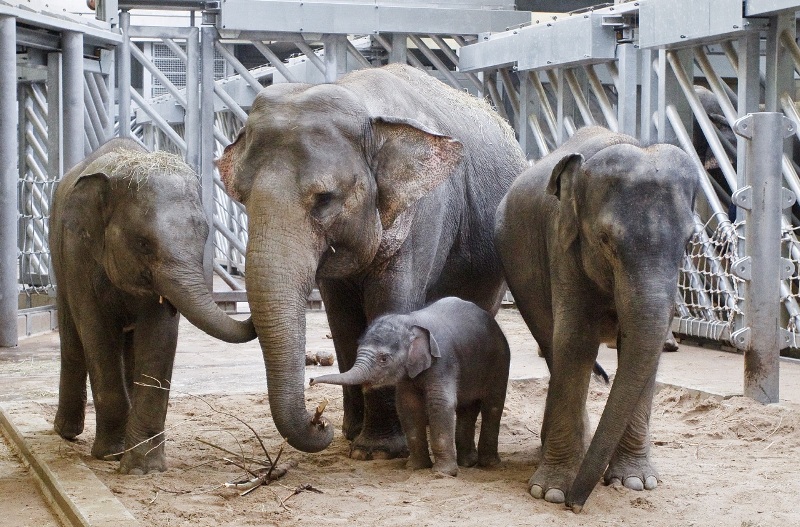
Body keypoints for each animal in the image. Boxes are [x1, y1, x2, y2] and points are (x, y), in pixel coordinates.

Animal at [50, 137, 256, 474]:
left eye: (204, 237)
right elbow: (96, 334)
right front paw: (111, 455)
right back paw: (65, 432)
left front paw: (141, 469)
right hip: (58, 256)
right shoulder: (77, 252)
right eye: (143, 243)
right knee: (72, 339)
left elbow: (158, 339)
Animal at [216, 63, 528, 458]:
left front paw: (379, 450)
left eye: (324, 199)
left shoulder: (426, 212)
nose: (320, 419)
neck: (364, 105)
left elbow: (388, 303)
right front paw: (352, 437)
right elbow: (342, 319)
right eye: (242, 196)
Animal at [310, 296, 510, 478]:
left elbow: (440, 404)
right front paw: (415, 468)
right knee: (467, 409)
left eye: (384, 359)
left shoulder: (443, 362)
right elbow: (408, 406)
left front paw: (442, 474)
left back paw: (489, 464)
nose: (311, 380)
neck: (411, 321)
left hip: (500, 361)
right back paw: (468, 463)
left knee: (492, 405)